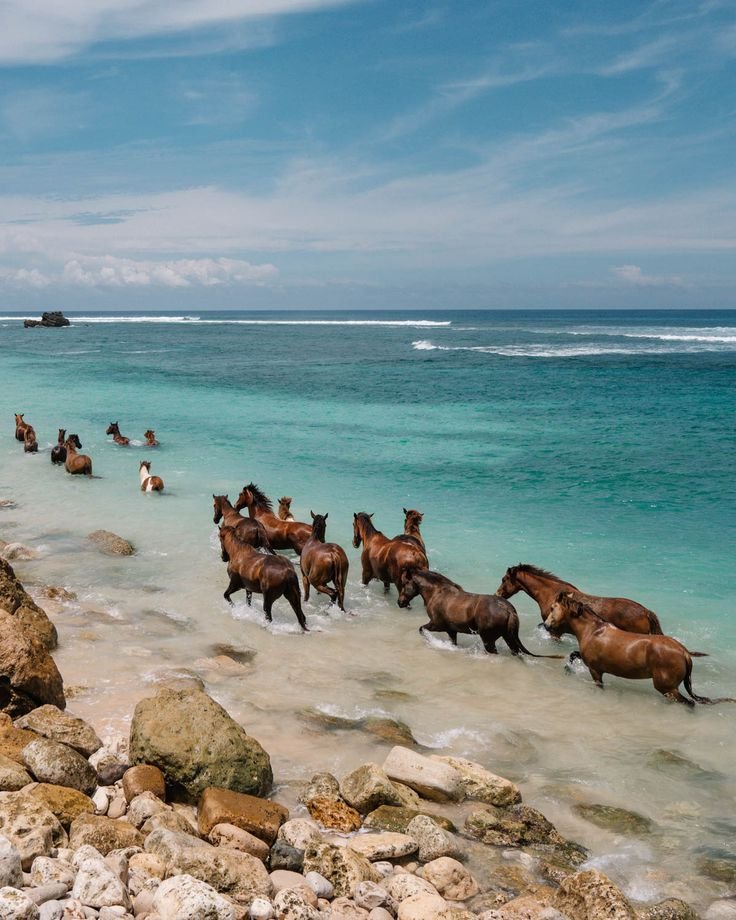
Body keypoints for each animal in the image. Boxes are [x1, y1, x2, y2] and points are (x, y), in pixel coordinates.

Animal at [398, 569, 565, 657]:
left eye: (405, 583)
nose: (400, 602)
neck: (437, 592)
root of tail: (509, 609)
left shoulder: (436, 624)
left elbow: (422, 629)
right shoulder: (451, 630)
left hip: (488, 639)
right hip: (509, 638)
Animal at [546, 592, 734, 706]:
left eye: (553, 608)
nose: (546, 625)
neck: (593, 631)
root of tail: (684, 653)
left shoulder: (595, 670)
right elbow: (573, 654)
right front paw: (567, 669)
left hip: (666, 687)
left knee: (688, 703)